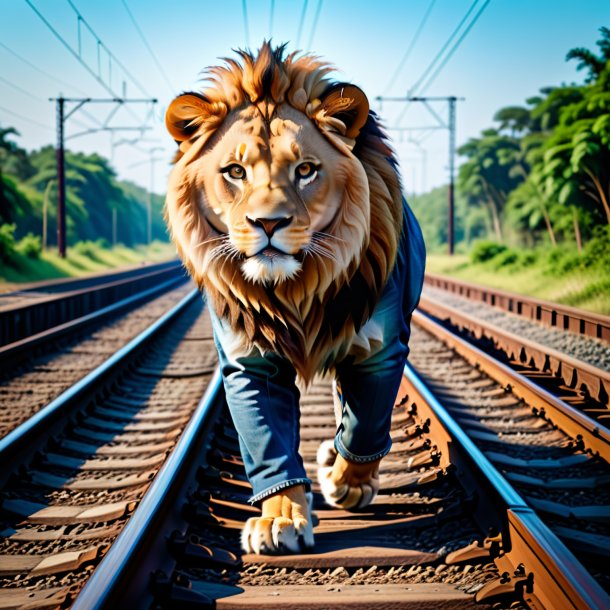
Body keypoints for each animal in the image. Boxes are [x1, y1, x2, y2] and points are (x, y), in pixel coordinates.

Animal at [164, 42, 426, 552]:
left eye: (305, 170)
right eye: (235, 172)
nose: (269, 223)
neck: (296, 291)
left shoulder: (380, 349)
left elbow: (366, 428)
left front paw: (346, 483)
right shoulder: (250, 361)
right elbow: (270, 440)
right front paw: (280, 519)